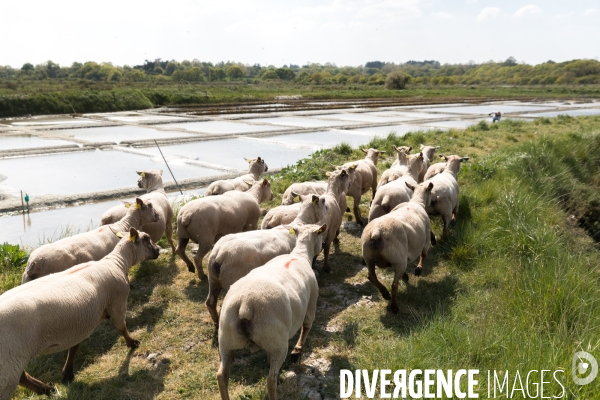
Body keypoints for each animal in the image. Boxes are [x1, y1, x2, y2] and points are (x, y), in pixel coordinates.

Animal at [0, 227, 159, 398]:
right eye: (147, 239)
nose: (158, 250)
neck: (117, 262)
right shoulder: (117, 304)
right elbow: (122, 327)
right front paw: (132, 343)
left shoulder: (80, 320)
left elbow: (74, 346)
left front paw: (68, 373)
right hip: (10, 360)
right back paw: (45, 389)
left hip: (11, 361)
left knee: (23, 377)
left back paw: (47, 389)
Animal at [217, 223, 328, 398]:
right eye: (320, 235)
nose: (323, 244)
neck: (300, 255)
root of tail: (245, 305)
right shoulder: (311, 302)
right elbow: (307, 326)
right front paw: (298, 350)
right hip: (278, 342)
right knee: (271, 380)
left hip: (226, 339)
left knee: (222, 375)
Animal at [358, 183, 434, 314]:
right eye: (430, 192)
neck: (416, 202)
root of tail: (376, 232)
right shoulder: (426, 238)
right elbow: (424, 255)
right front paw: (418, 269)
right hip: (398, 258)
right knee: (394, 285)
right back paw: (394, 306)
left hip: (369, 257)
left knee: (371, 277)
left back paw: (385, 293)